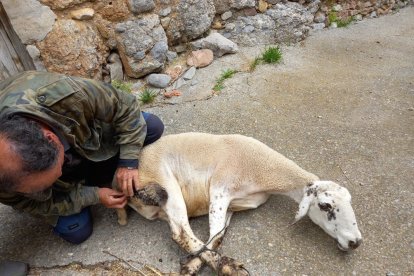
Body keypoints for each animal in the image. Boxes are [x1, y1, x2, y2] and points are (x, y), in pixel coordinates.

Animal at [116, 133, 362, 274]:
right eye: (325, 206)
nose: (355, 242)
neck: (262, 170)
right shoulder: (219, 189)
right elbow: (210, 234)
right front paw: (222, 266)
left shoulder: (235, 205)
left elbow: (216, 237)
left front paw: (191, 266)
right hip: (164, 181)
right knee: (181, 233)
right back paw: (231, 268)